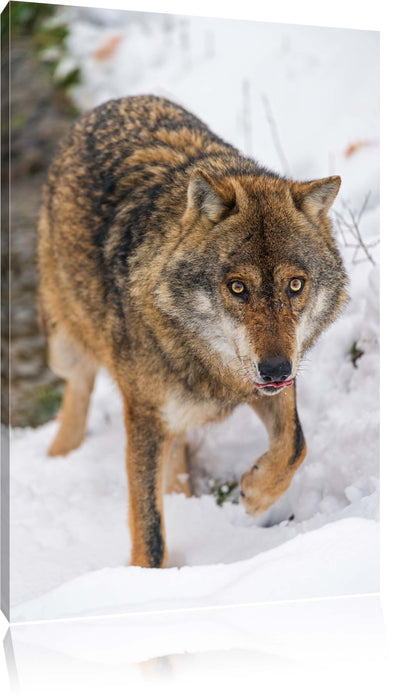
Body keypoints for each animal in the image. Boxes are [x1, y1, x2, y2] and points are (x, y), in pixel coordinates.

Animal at [37, 95, 348, 568]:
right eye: (237, 287)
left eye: (296, 285)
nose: (276, 369)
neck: (205, 363)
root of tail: (113, 103)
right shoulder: (145, 416)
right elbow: (149, 527)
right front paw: (145, 577)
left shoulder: (268, 383)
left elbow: (295, 443)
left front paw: (256, 493)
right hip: (65, 345)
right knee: (77, 391)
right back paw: (58, 458)